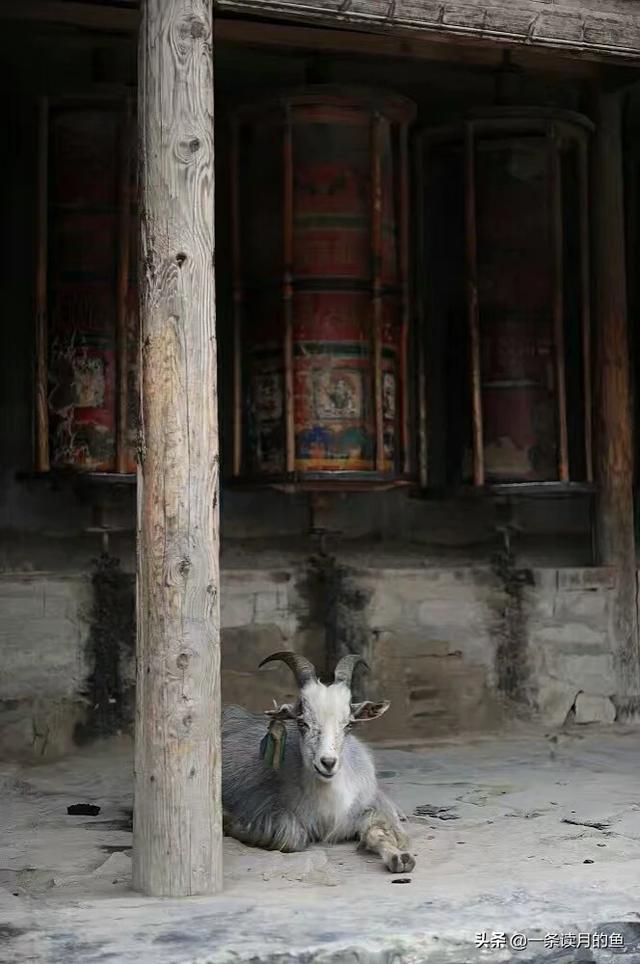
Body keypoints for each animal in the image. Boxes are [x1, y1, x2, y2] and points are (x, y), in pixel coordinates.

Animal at [222, 656, 418, 872]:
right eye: (302, 723)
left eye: (349, 724)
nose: (328, 763)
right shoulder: (262, 804)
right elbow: (291, 836)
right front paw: (230, 824)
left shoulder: (367, 807)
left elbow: (379, 833)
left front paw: (400, 858)